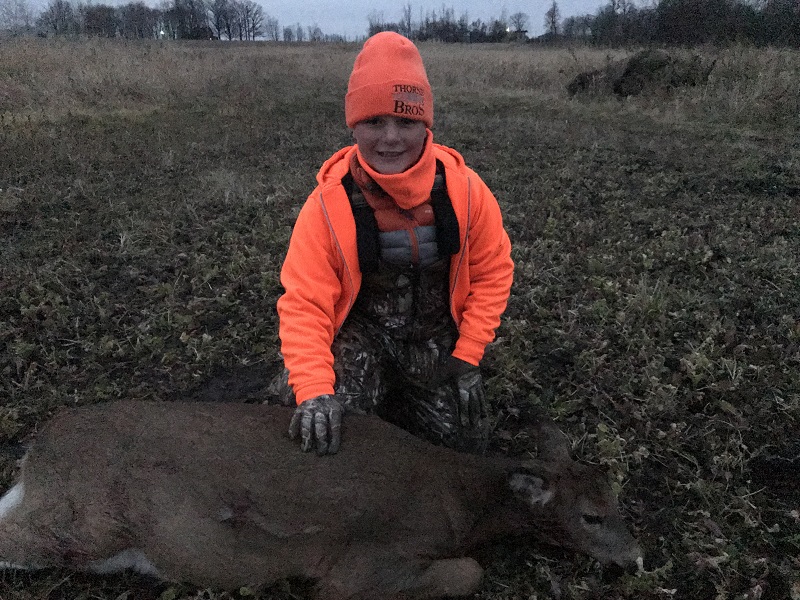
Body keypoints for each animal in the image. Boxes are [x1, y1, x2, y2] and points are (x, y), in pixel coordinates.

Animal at [0, 401, 643, 598]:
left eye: (618, 500)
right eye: (592, 516)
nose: (637, 556)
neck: (457, 500)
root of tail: (39, 446)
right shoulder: (363, 563)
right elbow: (470, 573)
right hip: (83, 519)